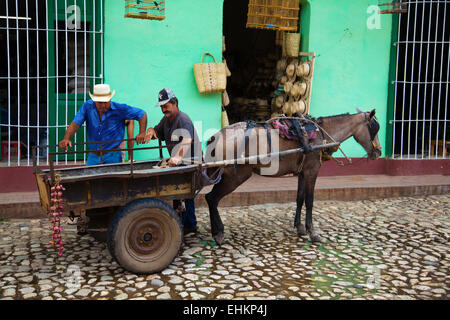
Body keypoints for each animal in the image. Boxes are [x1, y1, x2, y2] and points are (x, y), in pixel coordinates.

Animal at [202, 109, 382, 244]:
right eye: (374, 128)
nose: (379, 152)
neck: (321, 135)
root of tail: (217, 136)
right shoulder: (311, 171)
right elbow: (309, 201)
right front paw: (312, 232)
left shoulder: (302, 173)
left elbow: (299, 198)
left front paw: (299, 227)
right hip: (235, 177)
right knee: (212, 198)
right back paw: (219, 233)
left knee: (210, 198)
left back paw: (215, 231)